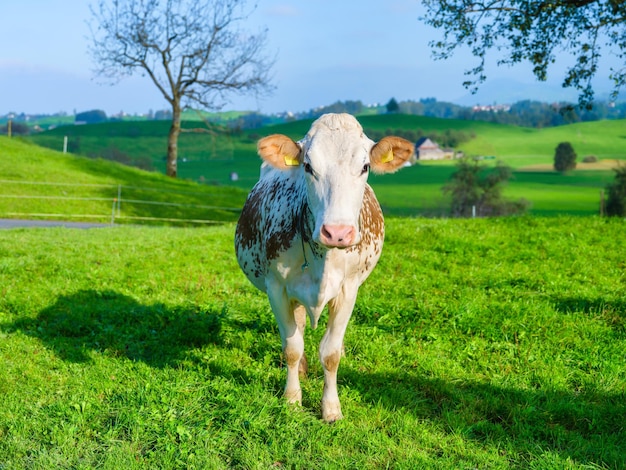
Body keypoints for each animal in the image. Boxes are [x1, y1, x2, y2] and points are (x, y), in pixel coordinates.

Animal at [232, 114, 412, 422]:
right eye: (308, 166)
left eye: (365, 166)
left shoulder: (348, 290)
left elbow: (330, 353)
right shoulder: (276, 288)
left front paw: (331, 408)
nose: (337, 233)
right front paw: (292, 398)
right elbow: (292, 347)